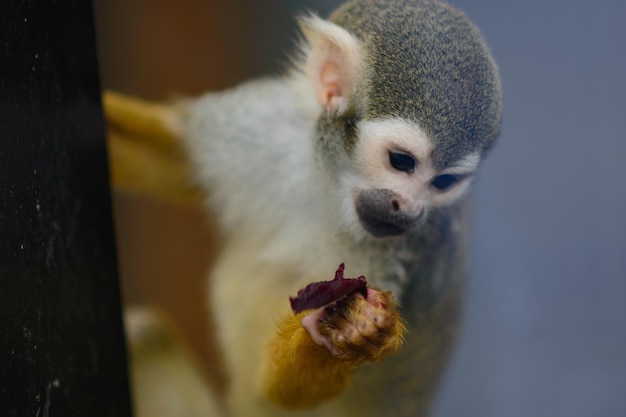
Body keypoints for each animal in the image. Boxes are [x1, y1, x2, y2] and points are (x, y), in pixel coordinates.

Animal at [105, 0, 500, 416]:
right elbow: (174, 158)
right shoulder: (268, 123)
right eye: (401, 161)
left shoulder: (401, 252)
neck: (332, 181)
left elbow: (288, 396)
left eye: (443, 183)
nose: (406, 208)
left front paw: (346, 334)